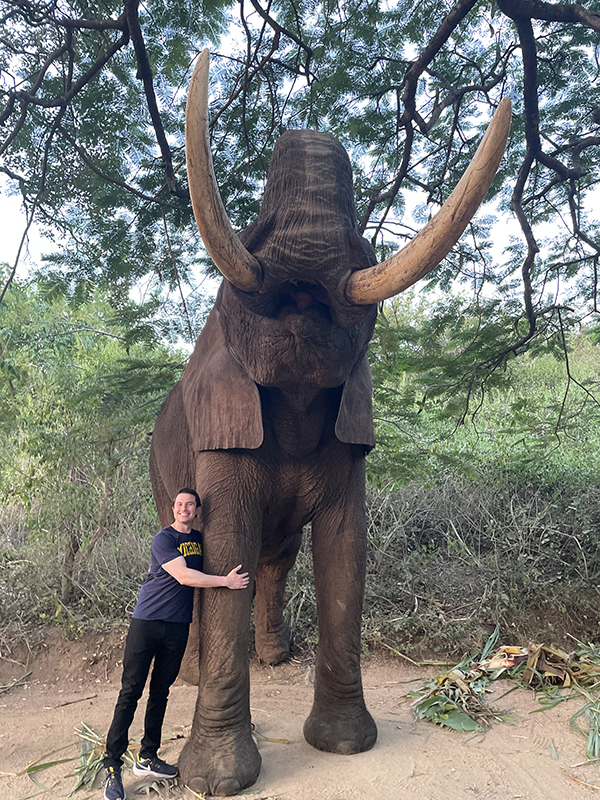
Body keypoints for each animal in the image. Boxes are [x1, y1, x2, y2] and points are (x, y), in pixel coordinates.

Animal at [150, 48, 510, 792]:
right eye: (230, 291)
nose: (306, 285)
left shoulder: (350, 430)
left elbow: (345, 550)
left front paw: (345, 745)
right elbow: (222, 546)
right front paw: (218, 782)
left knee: (278, 555)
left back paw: (275, 658)